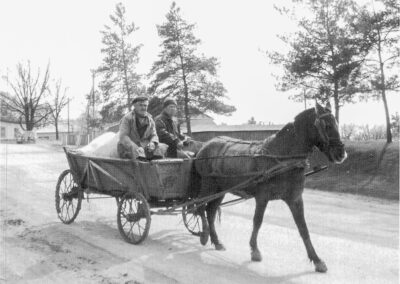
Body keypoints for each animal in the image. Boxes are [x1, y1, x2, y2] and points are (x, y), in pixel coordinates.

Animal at [194, 102, 346, 272]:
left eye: (337, 124)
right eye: (327, 125)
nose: (341, 153)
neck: (282, 158)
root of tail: (205, 145)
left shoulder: (295, 199)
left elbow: (303, 228)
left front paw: (317, 259)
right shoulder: (262, 197)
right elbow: (257, 221)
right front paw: (254, 250)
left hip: (220, 190)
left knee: (211, 212)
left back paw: (216, 241)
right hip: (208, 186)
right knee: (200, 207)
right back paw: (204, 235)